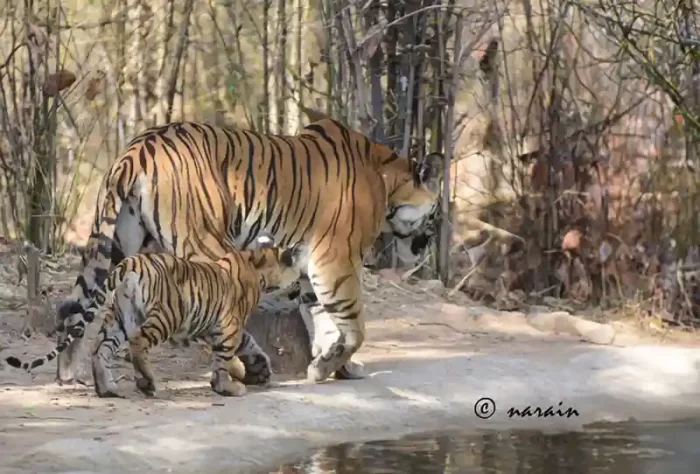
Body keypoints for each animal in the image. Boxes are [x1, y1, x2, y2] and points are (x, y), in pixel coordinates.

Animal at [47, 116, 442, 386]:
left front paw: (338, 366)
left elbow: (327, 323)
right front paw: (325, 368)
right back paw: (249, 366)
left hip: (118, 246)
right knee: (210, 309)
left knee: (74, 307)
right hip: (205, 243)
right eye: (436, 214)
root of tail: (136, 150)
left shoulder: (313, 268)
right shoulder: (335, 261)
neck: (387, 181)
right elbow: (353, 327)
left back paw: (69, 373)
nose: (427, 248)